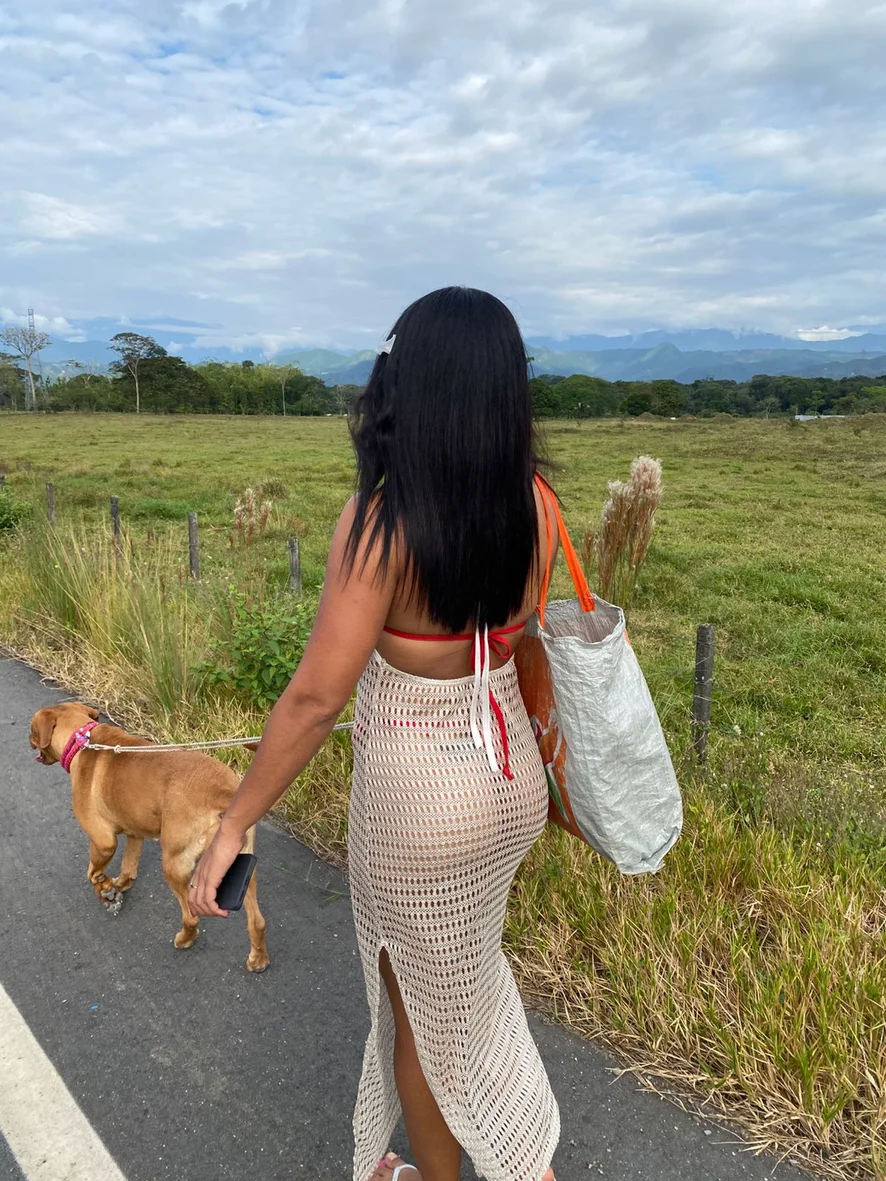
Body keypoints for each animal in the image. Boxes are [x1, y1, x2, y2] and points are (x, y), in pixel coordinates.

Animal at [29, 702, 269, 972]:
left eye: (32, 730)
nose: (29, 742)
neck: (82, 740)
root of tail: (223, 793)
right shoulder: (134, 835)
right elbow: (128, 866)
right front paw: (119, 885)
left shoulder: (103, 842)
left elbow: (93, 873)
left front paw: (106, 891)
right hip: (240, 863)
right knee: (257, 921)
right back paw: (258, 959)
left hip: (175, 864)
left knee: (191, 917)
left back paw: (185, 939)